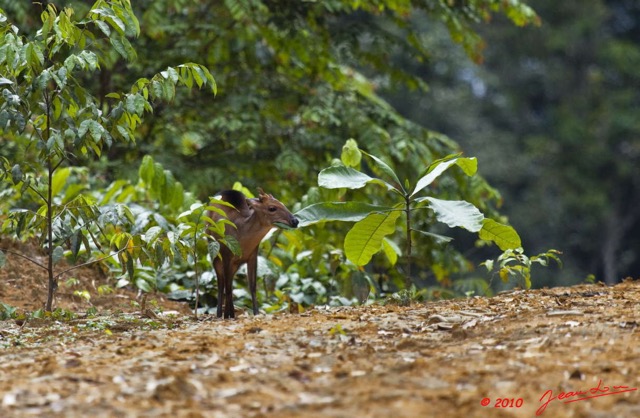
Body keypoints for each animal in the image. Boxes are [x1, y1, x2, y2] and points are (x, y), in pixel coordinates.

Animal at [210, 188, 300, 318]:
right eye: (272, 208)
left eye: (283, 204)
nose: (295, 221)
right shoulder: (226, 254)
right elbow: (226, 285)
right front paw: (227, 315)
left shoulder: (253, 255)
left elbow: (252, 286)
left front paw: (256, 313)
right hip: (215, 252)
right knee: (221, 281)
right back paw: (220, 313)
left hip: (236, 263)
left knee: (230, 280)